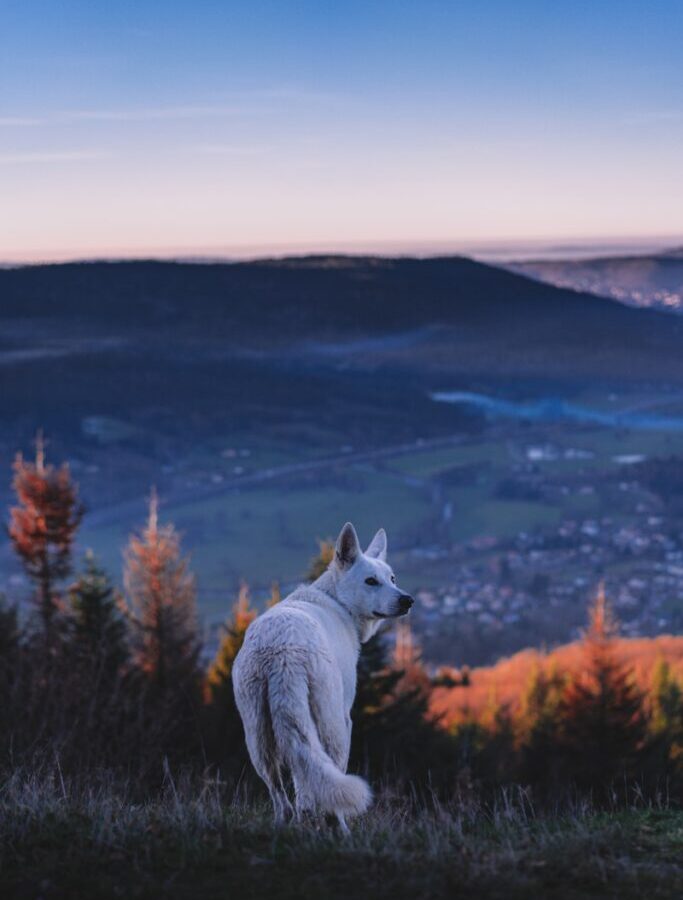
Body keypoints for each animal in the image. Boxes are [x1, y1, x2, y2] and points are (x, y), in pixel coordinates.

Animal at [232, 522, 414, 830]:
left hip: (258, 734)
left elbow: (301, 783)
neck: (336, 601)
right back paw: (339, 827)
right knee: (330, 780)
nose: (407, 600)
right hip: (333, 725)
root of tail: (280, 651)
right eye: (371, 581)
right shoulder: (344, 716)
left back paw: (286, 825)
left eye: (391, 578)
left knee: (284, 796)